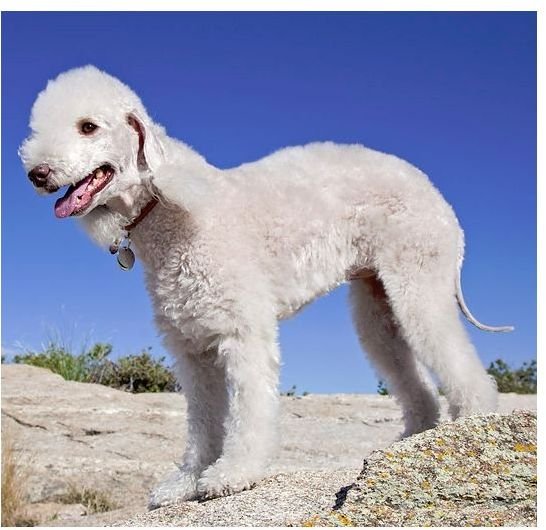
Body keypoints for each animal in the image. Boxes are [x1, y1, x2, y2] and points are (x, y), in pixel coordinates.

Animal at [20, 66, 510, 508]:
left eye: (88, 126)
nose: (37, 174)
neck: (172, 214)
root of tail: (434, 194)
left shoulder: (242, 333)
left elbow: (248, 410)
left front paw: (232, 475)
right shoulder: (191, 346)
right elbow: (202, 420)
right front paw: (184, 483)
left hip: (418, 282)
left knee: (461, 366)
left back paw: (471, 427)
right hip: (377, 308)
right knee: (414, 383)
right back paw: (409, 440)